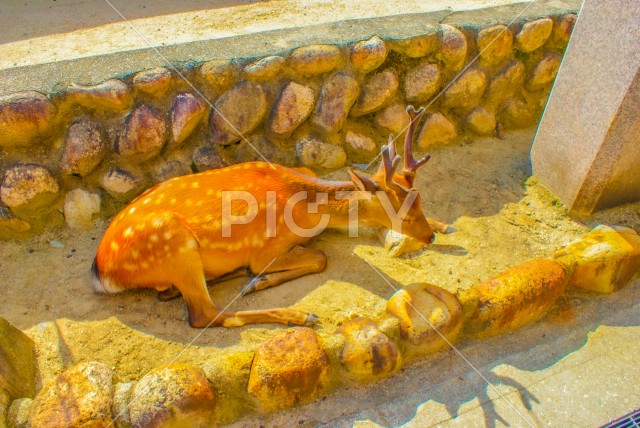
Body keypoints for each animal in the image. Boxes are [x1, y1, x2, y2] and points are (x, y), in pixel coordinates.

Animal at [92, 105, 450, 330]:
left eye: (420, 201)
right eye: (402, 213)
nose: (429, 236)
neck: (309, 208)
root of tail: (101, 270)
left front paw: (443, 224)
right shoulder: (268, 247)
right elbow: (320, 258)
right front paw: (261, 280)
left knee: (170, 294)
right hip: (175, 245)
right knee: (204, 315)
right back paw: (299, 314)